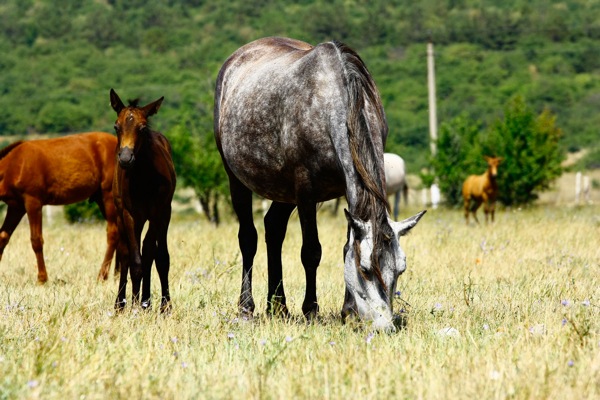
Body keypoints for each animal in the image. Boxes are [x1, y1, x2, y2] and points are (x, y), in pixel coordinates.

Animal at [0, 131, 118, 282]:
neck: (14, 165)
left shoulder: (33, 203)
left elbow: (36, 240)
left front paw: (42, 279)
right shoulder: (16, 207)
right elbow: (3, 237)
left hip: (108, 196)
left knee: (113, 233)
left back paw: (102, 276)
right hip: (101, 199)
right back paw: (117, 275)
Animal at [110, 88, 176, 312]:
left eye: (142, 127)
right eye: (116, 126)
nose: (125, 158)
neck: (144, 178)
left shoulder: (160, 212)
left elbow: (157, 256)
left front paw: (164, 305)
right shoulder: (130, 215)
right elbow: (134, 261)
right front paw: (134, 305)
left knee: (149, 252)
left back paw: (145, 301)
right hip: (123, 215)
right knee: (125, 254)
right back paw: (121, 303)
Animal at [213, 36, 424, 332]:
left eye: (401, 269)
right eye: (365, 269)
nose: (384, 327)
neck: (333, 102)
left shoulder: (347, 191)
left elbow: (347, 247)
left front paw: (348, 311)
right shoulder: (305, 193)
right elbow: (311, 251)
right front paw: (311, 310)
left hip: (283, 192)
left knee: (273, 229)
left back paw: (278, 307)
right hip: (238, 181)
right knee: (248, 239)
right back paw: (247, 307)